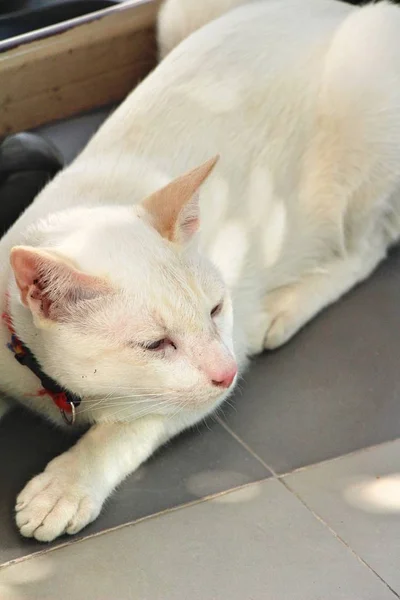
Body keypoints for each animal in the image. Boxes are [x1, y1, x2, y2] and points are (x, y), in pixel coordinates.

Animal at [0, 0, 400, 544]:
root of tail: (330, 11)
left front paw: (66, 484)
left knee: (370, 243)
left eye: (216, 309)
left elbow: (124, 431)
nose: (227, 371)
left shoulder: (199, 384)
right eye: (155, 344)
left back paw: (284, 308)